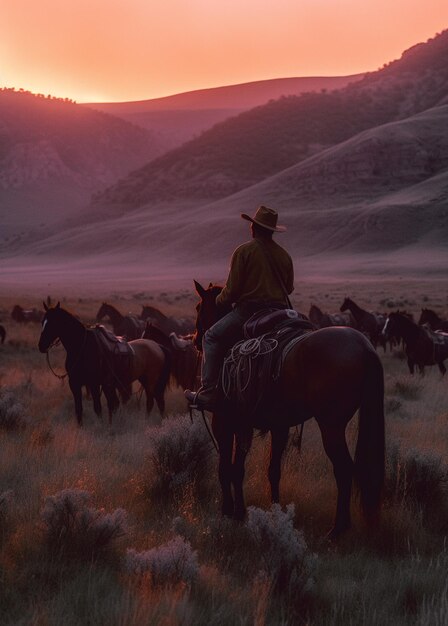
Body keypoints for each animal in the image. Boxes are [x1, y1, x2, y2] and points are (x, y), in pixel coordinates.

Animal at [37, 302, 171, 424]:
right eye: (42, 321)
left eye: (53, 322)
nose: (41, 346)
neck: (82, 347)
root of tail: (158, 346)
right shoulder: (75, 384)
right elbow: (79, 410)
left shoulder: (94, 384)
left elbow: (98, 408)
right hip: (143, 380)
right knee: (157, 400)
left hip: (150, 381)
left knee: (151, 401)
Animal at [191, 282, 384, 536]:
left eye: (199, 307)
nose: (195, 340)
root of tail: (364, 346)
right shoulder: (271, 426)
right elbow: (266, 470)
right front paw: (267, 511)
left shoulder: (224, 422)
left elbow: (226, 469)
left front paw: (228, 511)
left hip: (331, 426)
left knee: (343, 469)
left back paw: (338, 529)